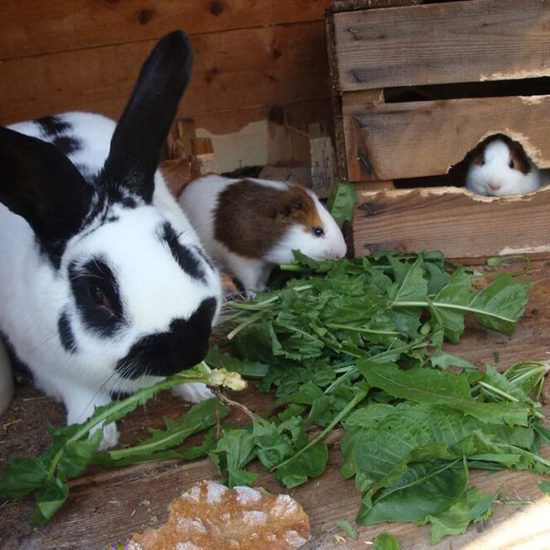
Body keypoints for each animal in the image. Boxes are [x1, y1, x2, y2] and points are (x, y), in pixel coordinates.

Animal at [1, 30, 224, 450]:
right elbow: (83, 395)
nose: (186, 348)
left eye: (179, 249)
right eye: (97, 294)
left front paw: (198, 389)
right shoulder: (48, 366)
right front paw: (95, 437)